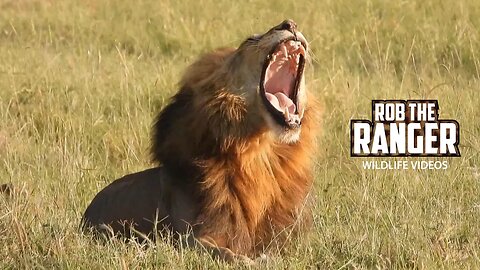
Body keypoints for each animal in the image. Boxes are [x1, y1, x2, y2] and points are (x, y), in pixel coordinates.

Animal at [82, 19, 318, 264]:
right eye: (250, 40)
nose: (289, 23)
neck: (260, 153)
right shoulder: (189, 239)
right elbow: (225, 253)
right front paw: (255, 261)